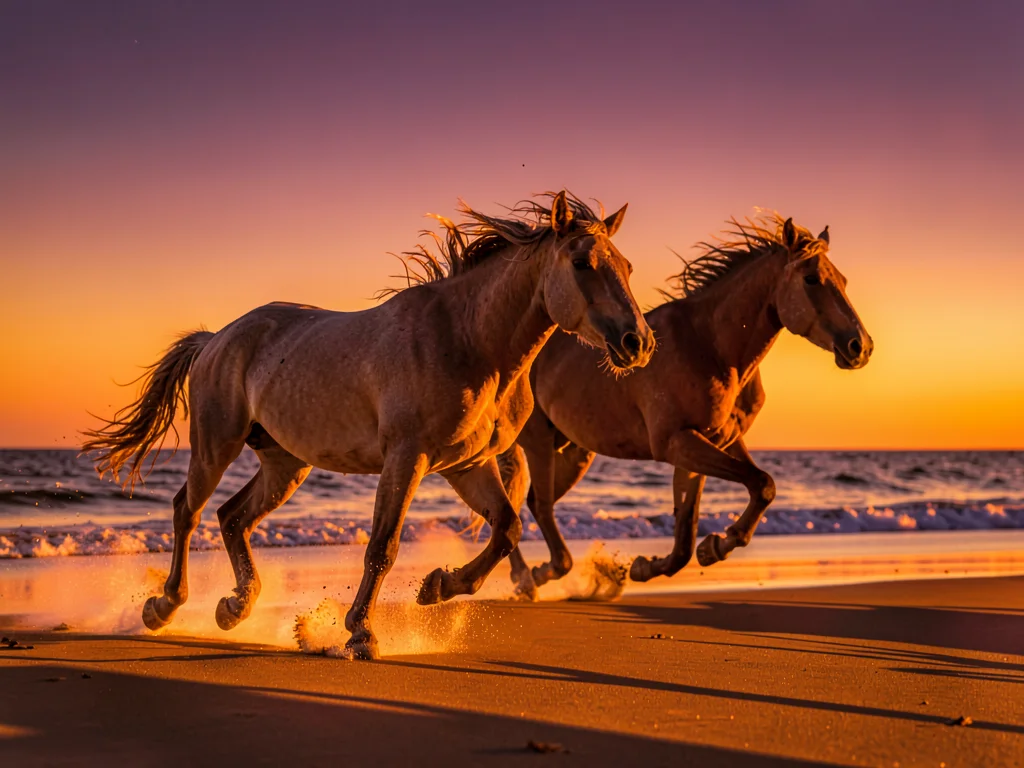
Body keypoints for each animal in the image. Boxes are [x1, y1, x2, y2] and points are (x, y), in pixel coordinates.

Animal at [82, 191, 656, 659]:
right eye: (581, 262)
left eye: (627, 265)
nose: (638, 343)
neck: (470, 342)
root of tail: (216, 337)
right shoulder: (407, 457)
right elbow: (383, 547)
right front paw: (361, 633)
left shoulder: (467, 465)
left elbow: (506, 530)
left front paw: (437, 587)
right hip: (215, 445)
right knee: (189, 510)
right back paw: (163, 606)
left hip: (285, 464)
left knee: (231, 516)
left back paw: (234, 608)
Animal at [500, 215, 873, 599]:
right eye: (811, 278)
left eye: (843, 280)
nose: (860, 346)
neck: (711, 347)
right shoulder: (677, 443)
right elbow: (758, 483)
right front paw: (718, 543)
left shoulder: (714, 441)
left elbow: (695, 530)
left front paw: (668, 560)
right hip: (538, 442)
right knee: (535, 505)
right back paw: (531, 576)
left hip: (573, 453)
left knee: (527, 503)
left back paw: (536, 575)